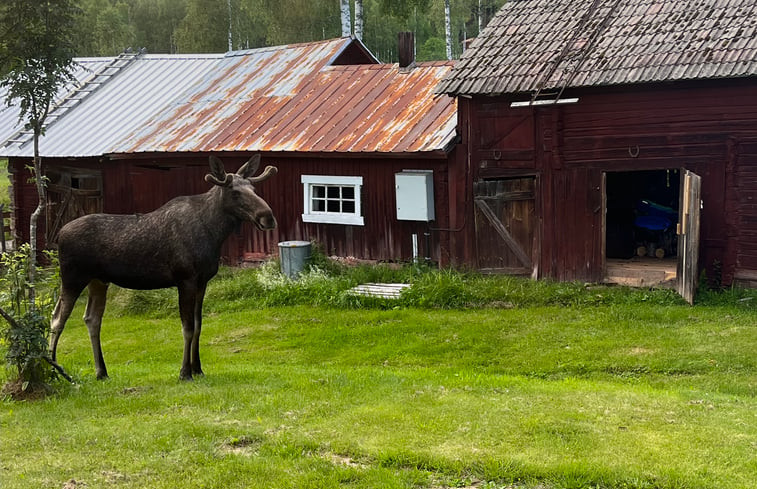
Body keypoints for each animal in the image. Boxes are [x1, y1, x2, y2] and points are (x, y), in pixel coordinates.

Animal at [49, 154, 278, 380]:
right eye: (235, 192)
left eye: (254, 189)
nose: (268, 217)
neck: (215, 233)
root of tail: (59, 234)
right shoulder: (185, 279)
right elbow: (188, 327)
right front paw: (185, 372)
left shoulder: (202, 281)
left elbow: (199, 326)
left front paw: (198, 368)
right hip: (72, 278)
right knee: (57, 318)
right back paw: (53, 368)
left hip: (98, 281)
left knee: (91, 319)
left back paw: (101, 371)